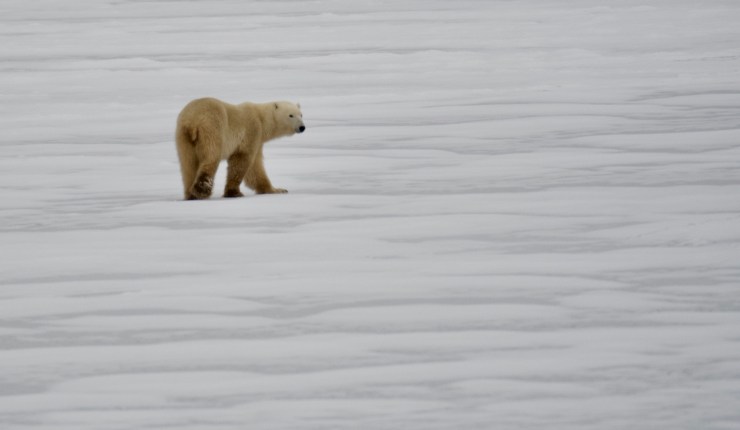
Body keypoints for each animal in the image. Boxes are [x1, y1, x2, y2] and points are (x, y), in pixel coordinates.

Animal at [175, 97, 305, 200]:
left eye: (301, 114)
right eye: (291, 115)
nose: (302, 127)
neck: (261, 119)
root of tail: (192, 121)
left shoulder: (258, 140)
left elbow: (255, 168)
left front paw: (276, 190)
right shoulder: (252, 131)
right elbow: (242, 161)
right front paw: (234, 193)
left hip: (184, 138)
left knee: (188, 165)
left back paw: (190, 195)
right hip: (212, 129)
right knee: (211, 157)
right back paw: (202, 190)